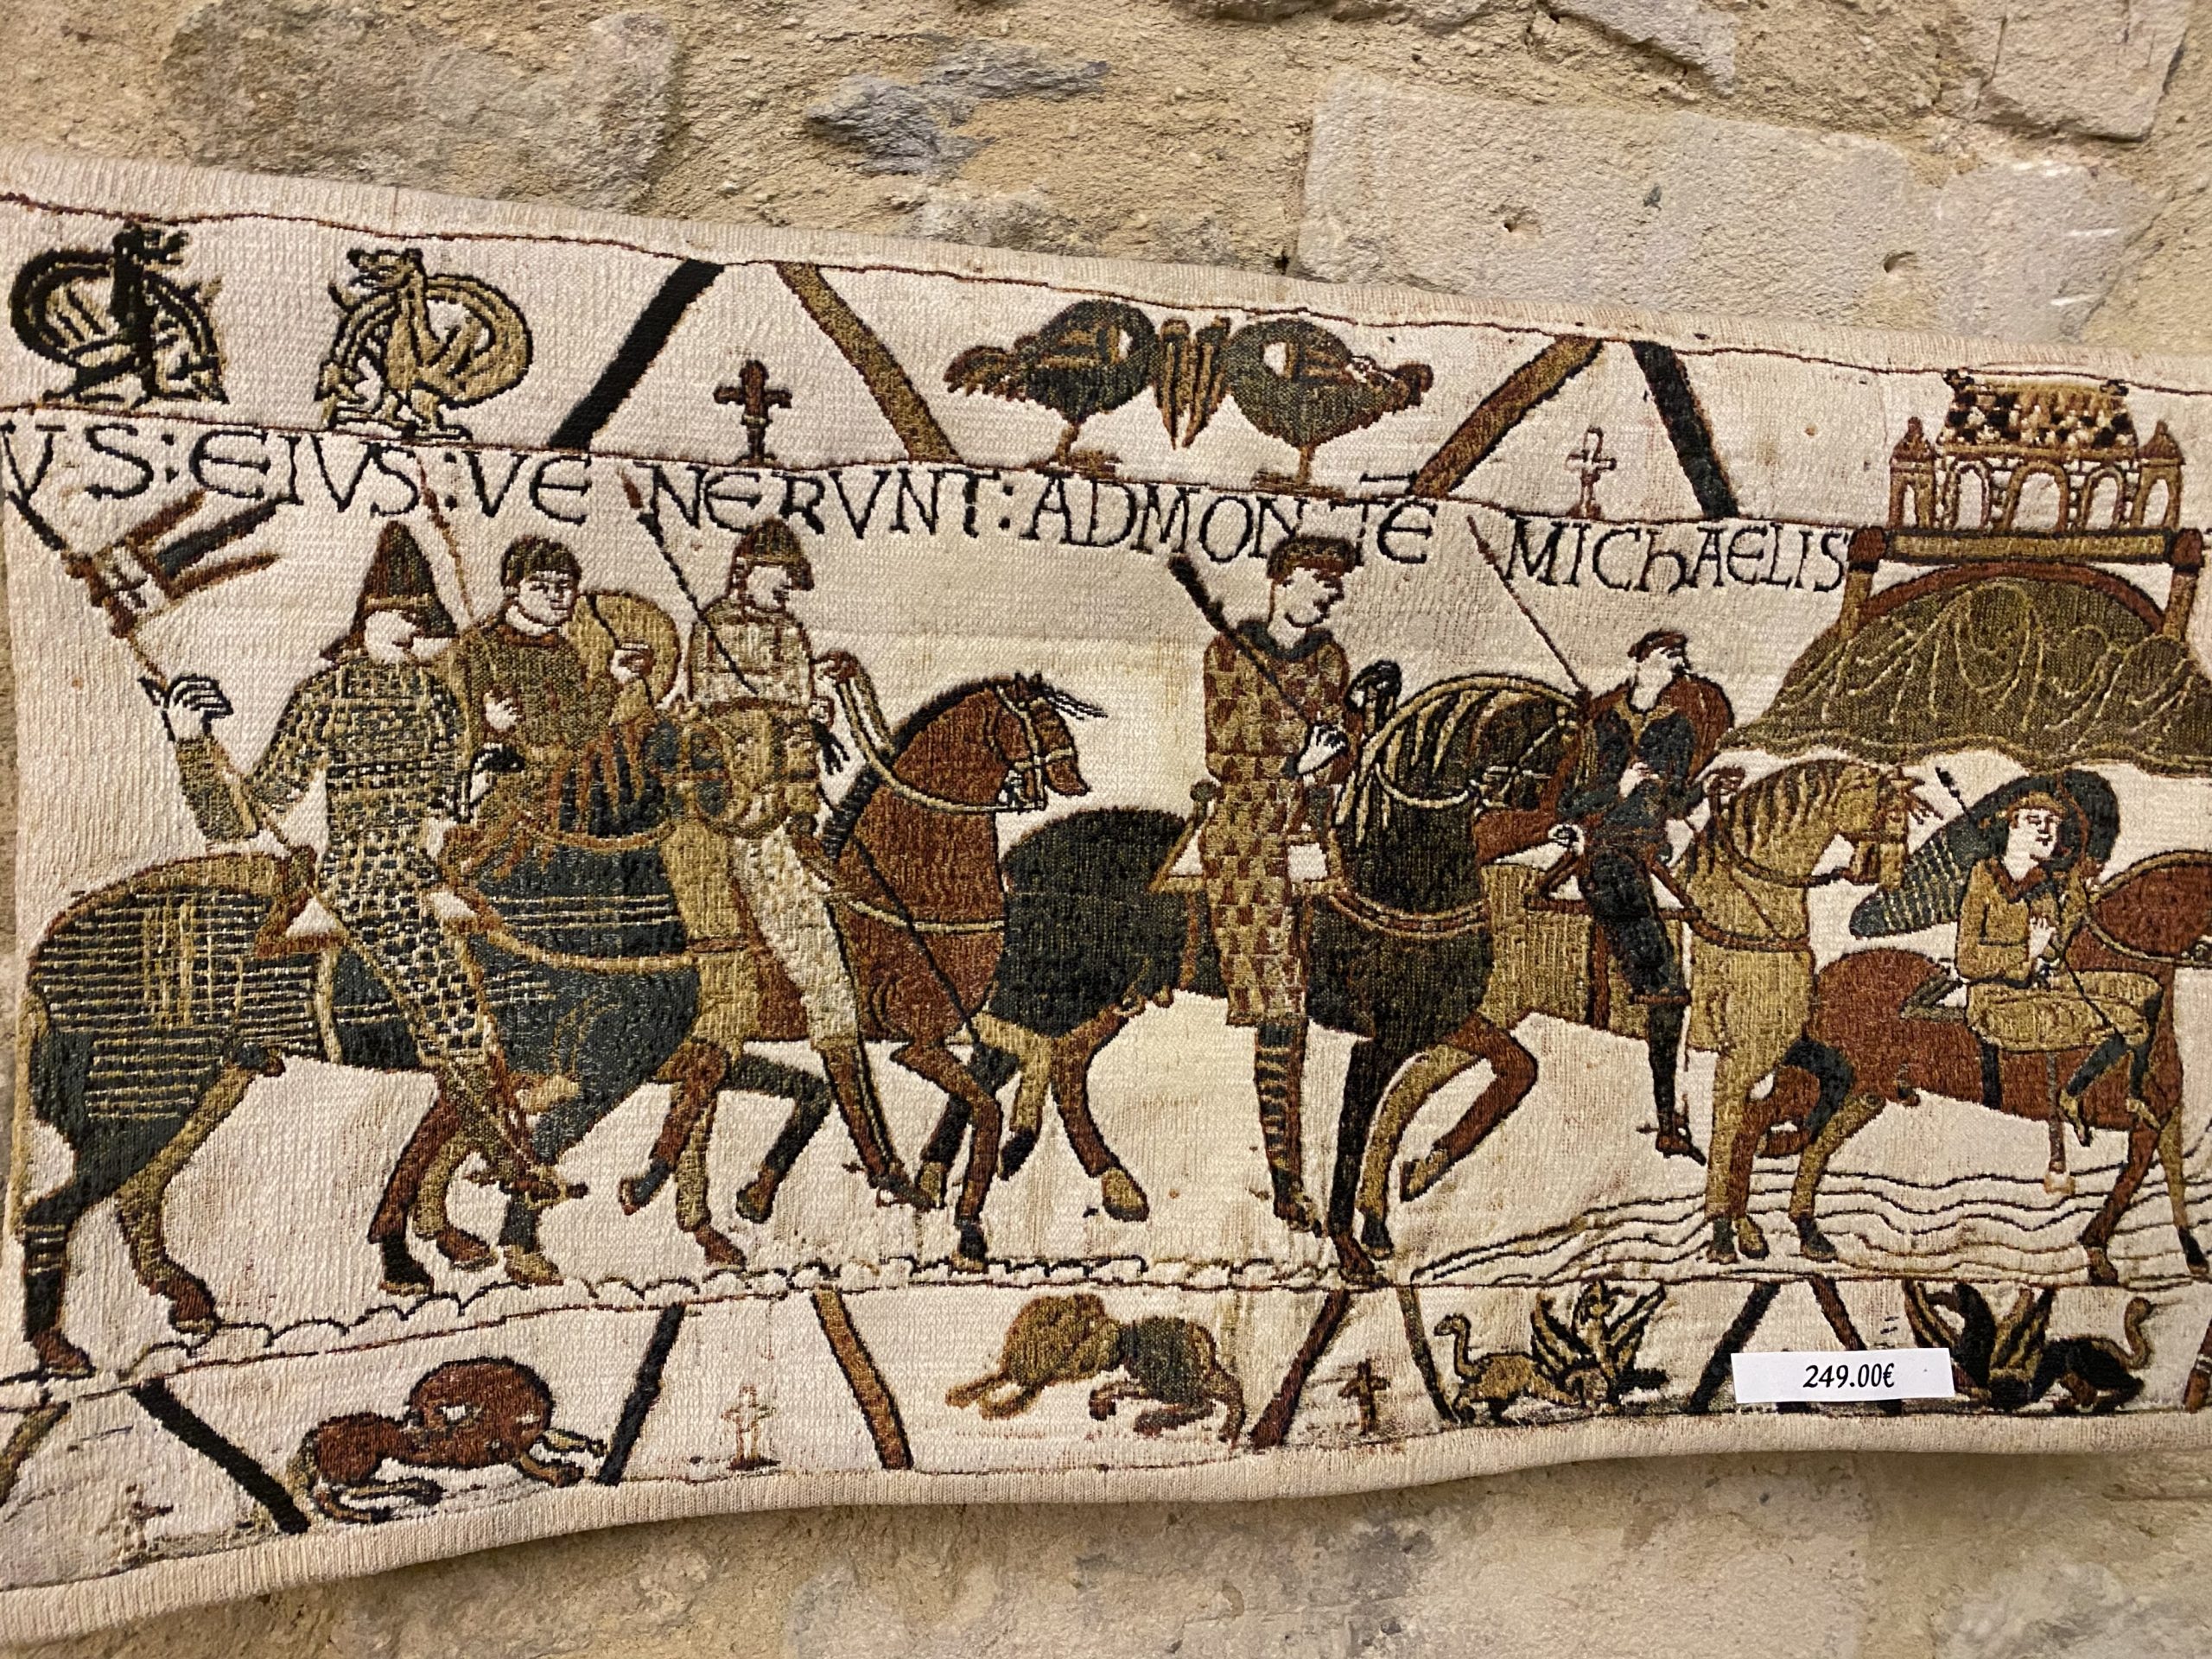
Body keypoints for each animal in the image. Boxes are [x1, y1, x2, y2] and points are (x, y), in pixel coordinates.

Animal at [13, 715, 714, 1376]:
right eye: (710, 752)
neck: (559, 907)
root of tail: (46, 957)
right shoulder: (587, 1067)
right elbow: (531, 1138)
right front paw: (515, 1242)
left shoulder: (524, 1068)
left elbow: (454, 1139)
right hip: (144, 1101)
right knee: (53, 1211)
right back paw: (58, 1351)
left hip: (205, 1087)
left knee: (138, 1196)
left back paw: (185, 1304)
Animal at [1756, 850, 2212, 1286]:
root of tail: (1823, 978)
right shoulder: (2133, 1117)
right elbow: (2132, 1178)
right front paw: (2098, 1252)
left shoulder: (2167, 1117)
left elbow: (2171, 1178)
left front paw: (2193, 1257)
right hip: (1812, 1086)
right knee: (1754, 1121)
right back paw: (1747, 1236)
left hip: (1864, 1093)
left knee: (1816, 1146)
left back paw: (1809, 1233)